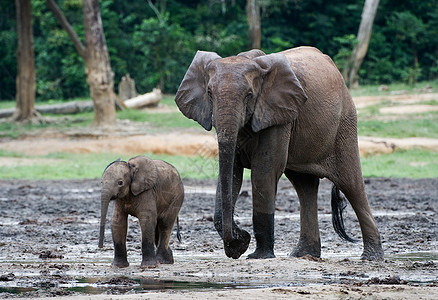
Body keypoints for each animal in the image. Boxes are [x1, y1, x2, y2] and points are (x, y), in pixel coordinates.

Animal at [175, 46, 384, 260]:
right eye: (209, 93)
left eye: (249, 95)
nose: (238, 239)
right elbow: (232, 172)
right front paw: (240, 246)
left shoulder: (276, 115)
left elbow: (263, 172)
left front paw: (257, 255)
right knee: (304, 186)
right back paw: (302, 255)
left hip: (345, 124)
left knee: (351, 184)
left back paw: (371, 257)